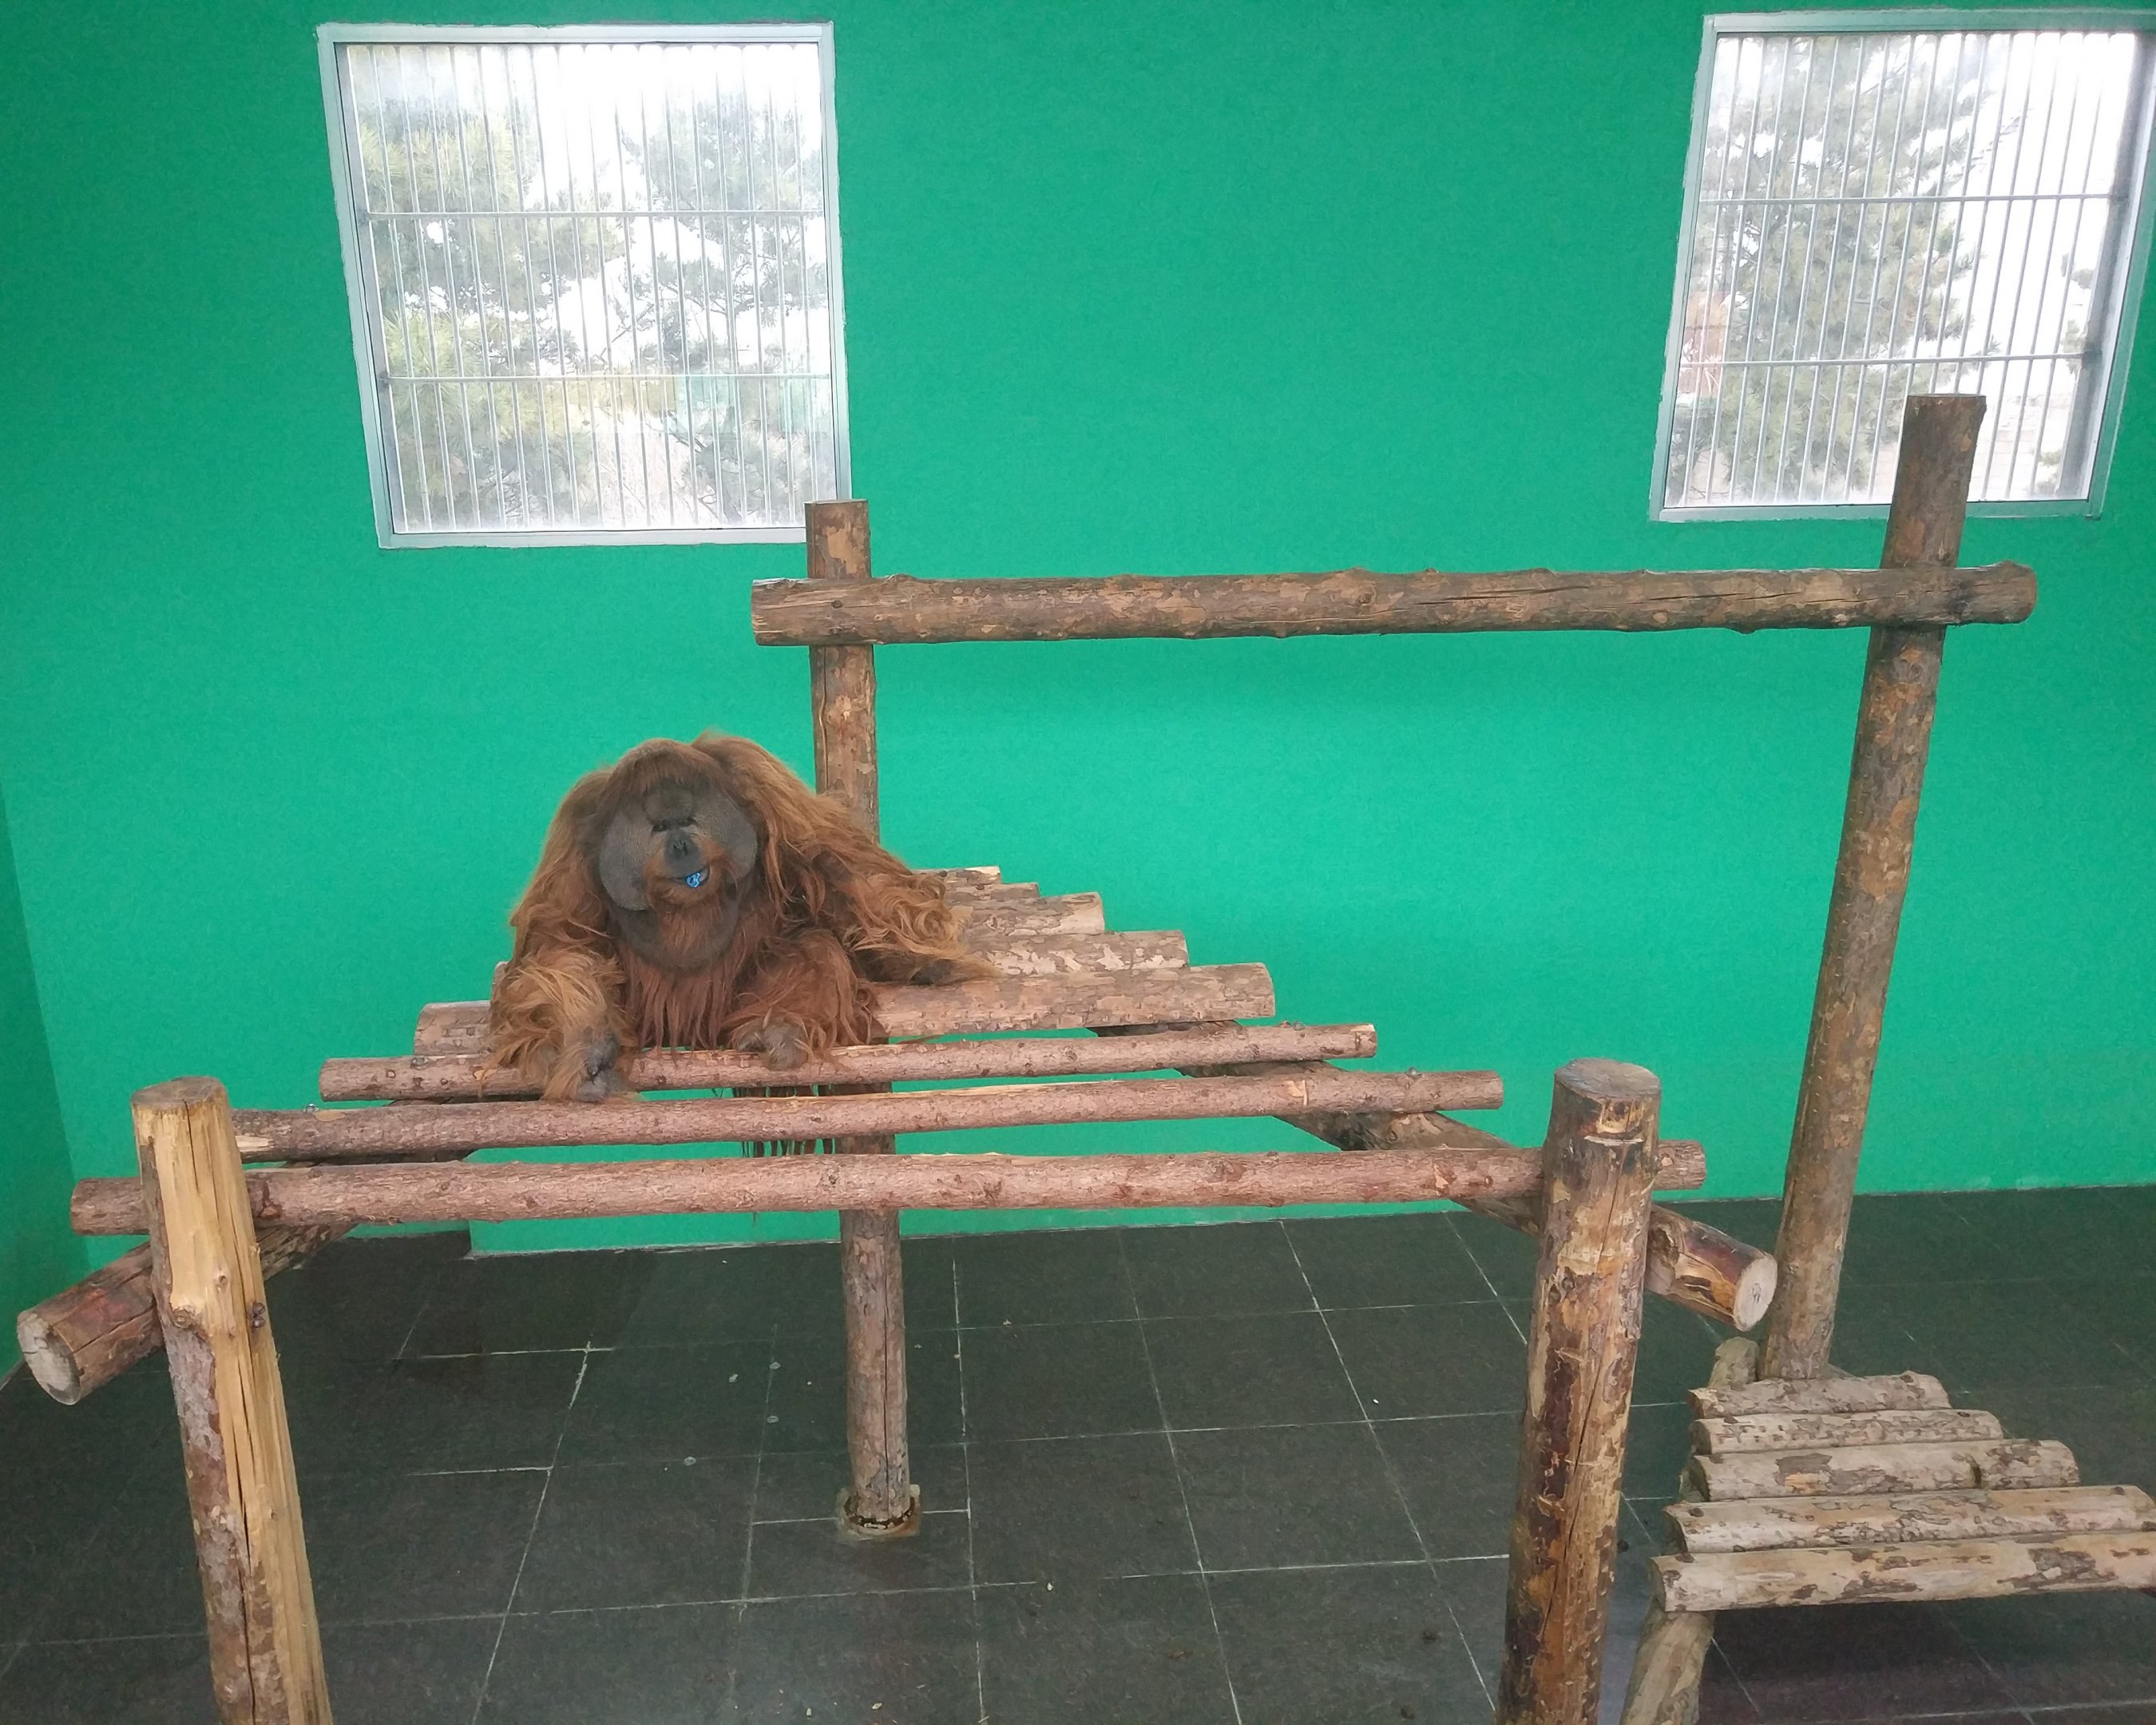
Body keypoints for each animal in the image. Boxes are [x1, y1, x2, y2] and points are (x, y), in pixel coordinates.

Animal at [486, 733, 985, 1102]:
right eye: (660, 828)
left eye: (688, 820)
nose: (681, 846)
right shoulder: (576, 825)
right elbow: (561, 939)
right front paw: (586, 1044)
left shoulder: (758, 777)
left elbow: (835, 858)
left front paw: (927, 961)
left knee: (811, 943)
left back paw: (778, 1029)